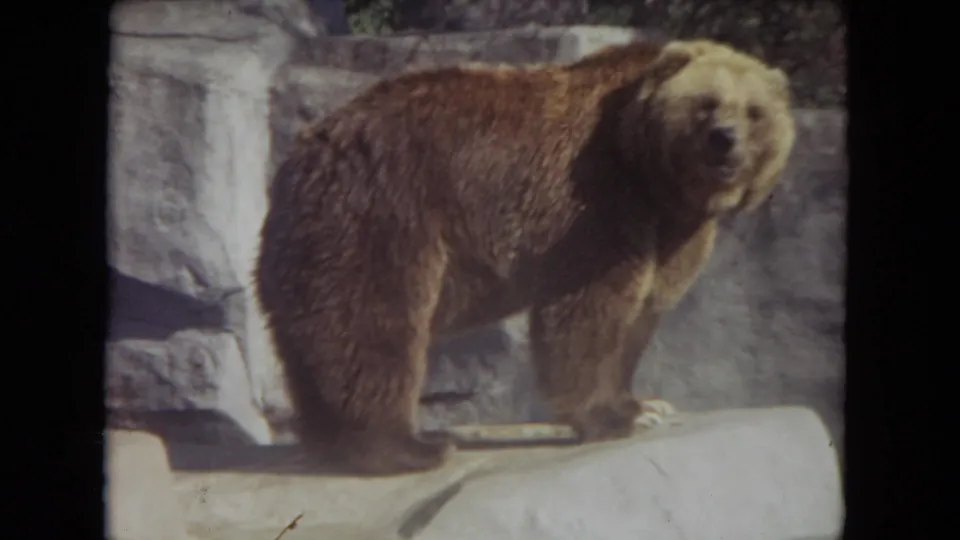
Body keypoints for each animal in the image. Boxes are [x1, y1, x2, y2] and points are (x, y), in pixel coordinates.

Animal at [254, 38, 796, 476]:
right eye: (706, 103)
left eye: (754, 111)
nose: (725, 140)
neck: (655, 176)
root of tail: (301, 155)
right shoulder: (599, 201)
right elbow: (588, 310)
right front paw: (606, 417)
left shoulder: (672, 231)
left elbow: (640, 314)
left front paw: (642, 405)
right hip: (383, 214)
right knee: (373, 327)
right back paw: (412, 447)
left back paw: (329, 443)